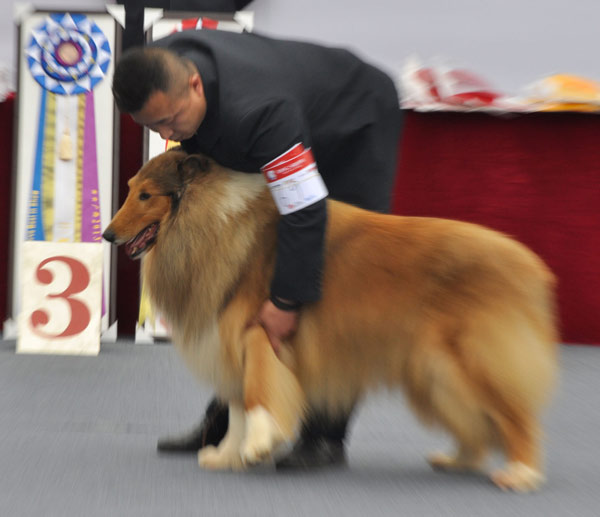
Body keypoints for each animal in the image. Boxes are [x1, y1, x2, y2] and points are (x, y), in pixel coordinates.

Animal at [102, 147, 556, 490]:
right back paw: (459, 459)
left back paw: (520, 472)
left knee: (514, 415)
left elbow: (257, 393)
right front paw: (227, 455)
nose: (106, 235)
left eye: (146, 195)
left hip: (471, 362)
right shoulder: (225, 346)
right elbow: (237, 409)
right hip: (432, 372)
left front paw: (260, 444)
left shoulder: (258, 332)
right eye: (130, 190)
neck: (211, 219)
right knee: (474, 422)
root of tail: (528, 265)